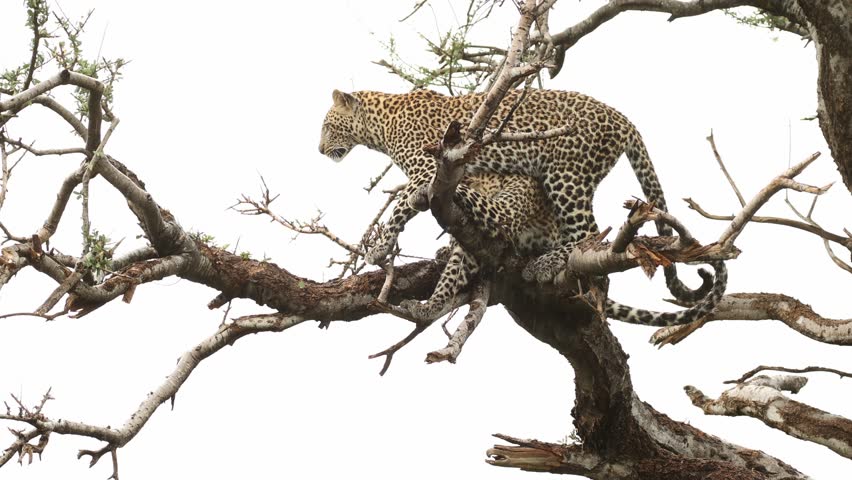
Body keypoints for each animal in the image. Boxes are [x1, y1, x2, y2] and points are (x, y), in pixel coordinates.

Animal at [318, 88, 711, 303]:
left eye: (326, 125)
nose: (320, 150)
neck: (380, 125)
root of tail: (623, 119)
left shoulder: (427, 170)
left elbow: (400, 207)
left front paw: (380, 245)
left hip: (566, 176)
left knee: (591, 234)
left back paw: (550, 261)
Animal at [397, 171, 726, 326]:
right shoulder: (469, 240)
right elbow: (452, 270)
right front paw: (431, 305)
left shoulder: (501, 211)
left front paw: (418, 190)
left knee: (590, 244)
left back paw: (542, 264)